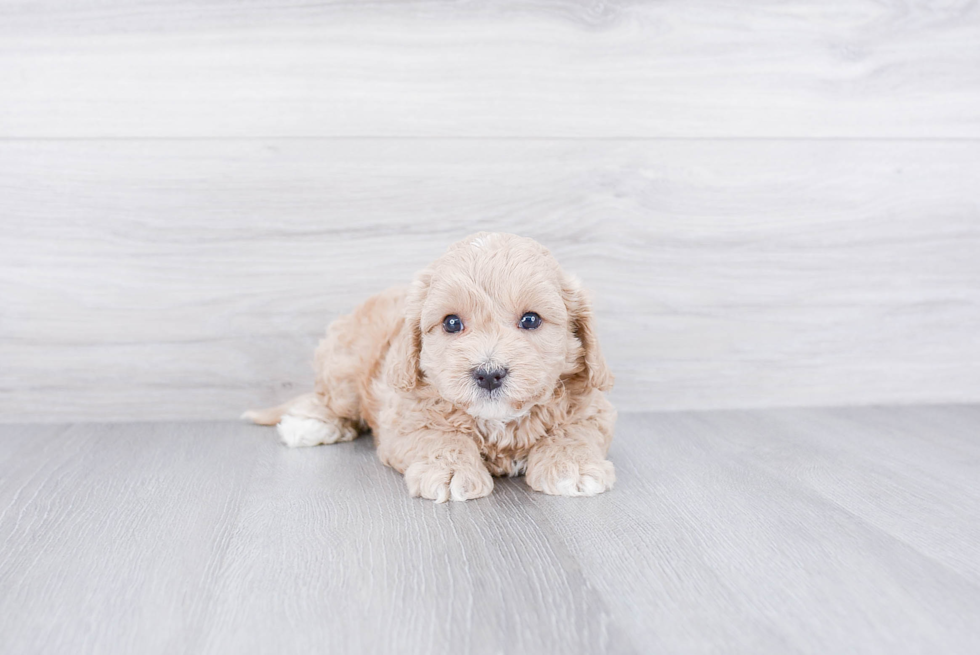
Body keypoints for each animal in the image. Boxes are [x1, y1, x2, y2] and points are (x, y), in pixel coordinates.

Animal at [243, 233, 612, 504]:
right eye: (451, 323)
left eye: (531, 320)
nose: (488, 374)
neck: (498, 421)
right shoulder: (404, 414)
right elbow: (437, 436)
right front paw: (450, 471)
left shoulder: (592, 407)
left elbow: (573, 430)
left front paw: (572, 465)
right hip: (344, 371)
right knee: (330, 401)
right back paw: (310, 424)